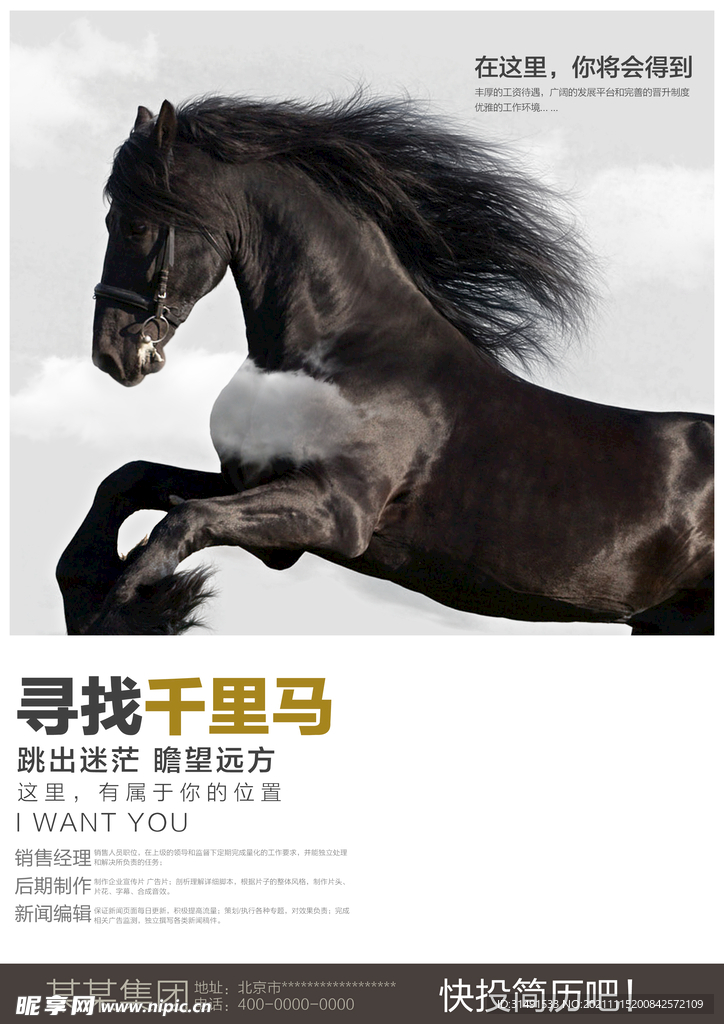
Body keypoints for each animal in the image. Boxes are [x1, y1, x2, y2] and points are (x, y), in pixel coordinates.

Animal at [56, 96, 714, 635]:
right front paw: (85, 588)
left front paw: (130, 613)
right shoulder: (254, 490)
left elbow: (178, 524)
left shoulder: (334, 514)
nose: (111, 353)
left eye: (137, 224)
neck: (353, 355)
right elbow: (132, 480)